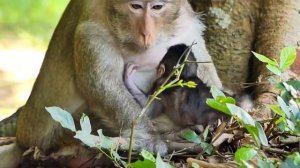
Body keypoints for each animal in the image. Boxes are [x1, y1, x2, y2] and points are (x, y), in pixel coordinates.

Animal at [2, 0, 221, 166]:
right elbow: (101, 84)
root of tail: (23, 138)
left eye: (157, 7)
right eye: (135, 6)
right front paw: (149, 138)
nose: (146, 33)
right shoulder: (92, 30)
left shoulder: (185, 19)